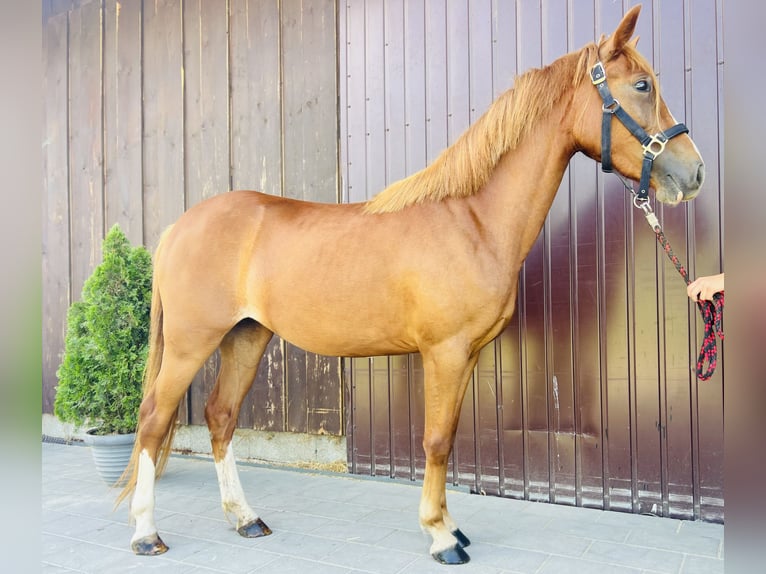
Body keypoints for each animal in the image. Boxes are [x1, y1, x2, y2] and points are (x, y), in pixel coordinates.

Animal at [117, 5, 704, 565]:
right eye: (642, 85)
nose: (693, 173)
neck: (472, 220)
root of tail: (179, 226)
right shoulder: (444, 352)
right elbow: (437, 440)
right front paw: (441, 537)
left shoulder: (466, 355)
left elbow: (448, 439)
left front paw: (451, 526)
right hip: (193, 342)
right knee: (153, 420)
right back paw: (146, 534)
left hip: (246, 336)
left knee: (220, 417)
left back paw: (245, 519)